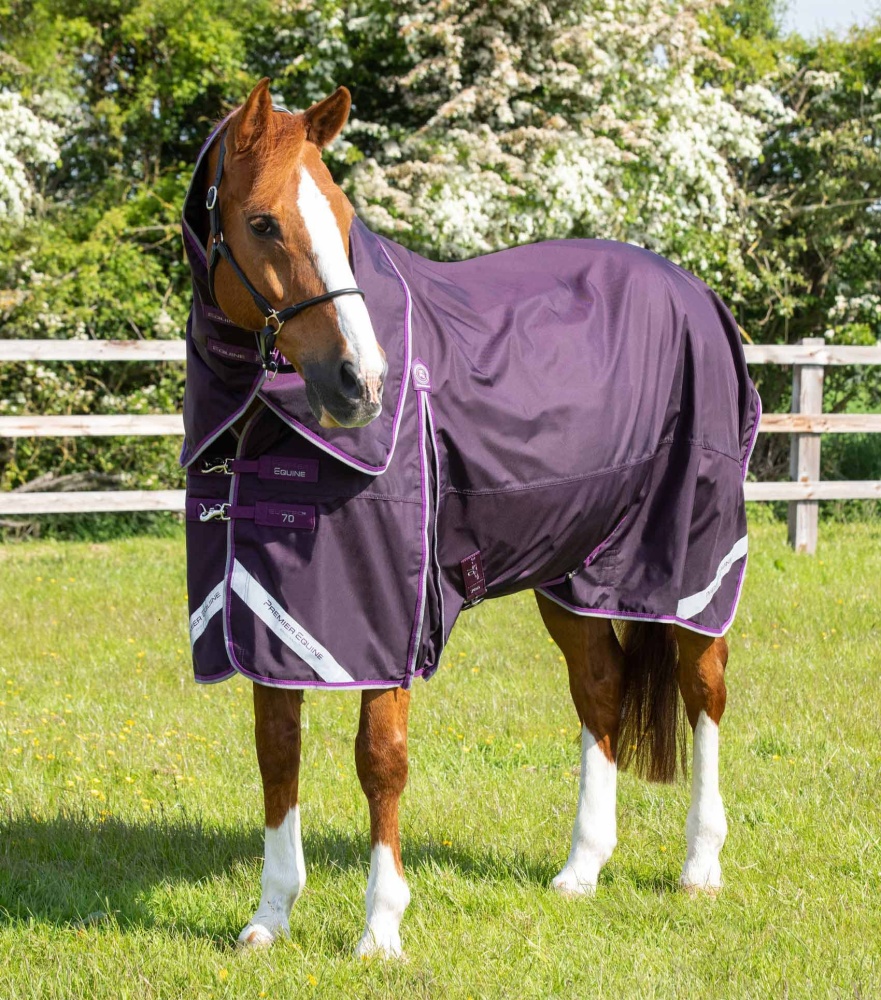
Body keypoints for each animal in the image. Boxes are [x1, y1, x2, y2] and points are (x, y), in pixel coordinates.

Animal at [180, 78, 759, 958]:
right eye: (263, 222)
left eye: (343, 219)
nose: (361, 381)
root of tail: (693, 293)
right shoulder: (273, 616)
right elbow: (277, 753)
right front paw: (269, 918)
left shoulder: (386, 616)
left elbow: (379, 757)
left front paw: (380, 928)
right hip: (576, 574)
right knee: (600, 689)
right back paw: (581, 869)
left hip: (687, 567)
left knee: (704, 692)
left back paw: (699, 866)